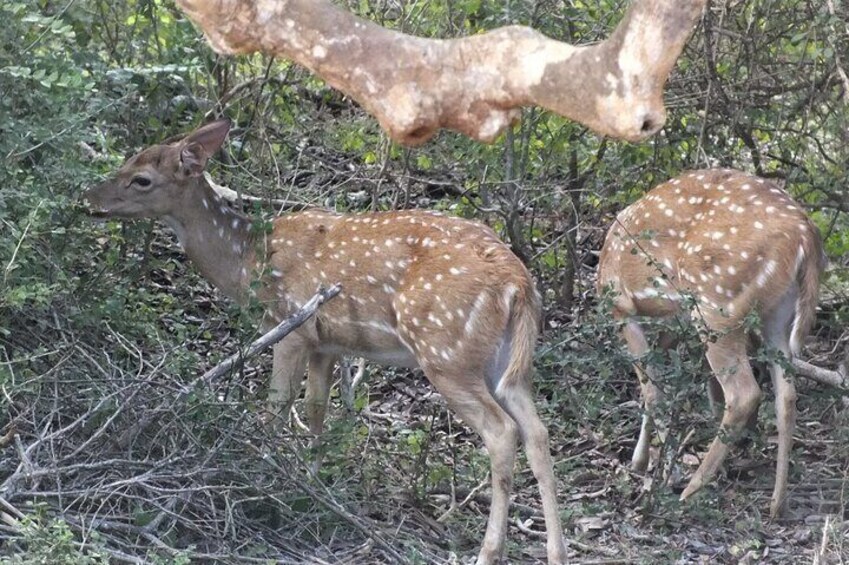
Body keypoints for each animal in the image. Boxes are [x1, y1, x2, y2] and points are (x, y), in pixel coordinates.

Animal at [83, 119, 568, 564]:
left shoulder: (291, 325)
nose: (90, 199)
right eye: (128, 161)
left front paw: (265, 482)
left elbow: (277, 407)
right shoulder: (328, 343)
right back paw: (556, 552)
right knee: (538, 433)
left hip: (446, 351)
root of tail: (518, 283)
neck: (247, 260)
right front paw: (315, 486)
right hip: (505, 363)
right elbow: (317, 410)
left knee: (502, 432)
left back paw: (488, 552)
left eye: (142, 178)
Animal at [596, 169, 820, 520]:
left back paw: (691, 489)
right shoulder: (676, 324)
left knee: (744, 393)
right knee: (786, 393)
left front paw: (657, 467)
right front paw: (643, 460)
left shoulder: (620, 306)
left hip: (717, 304)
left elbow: (652, 389)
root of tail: (804, 235)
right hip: (776, 313)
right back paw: (777, 503)